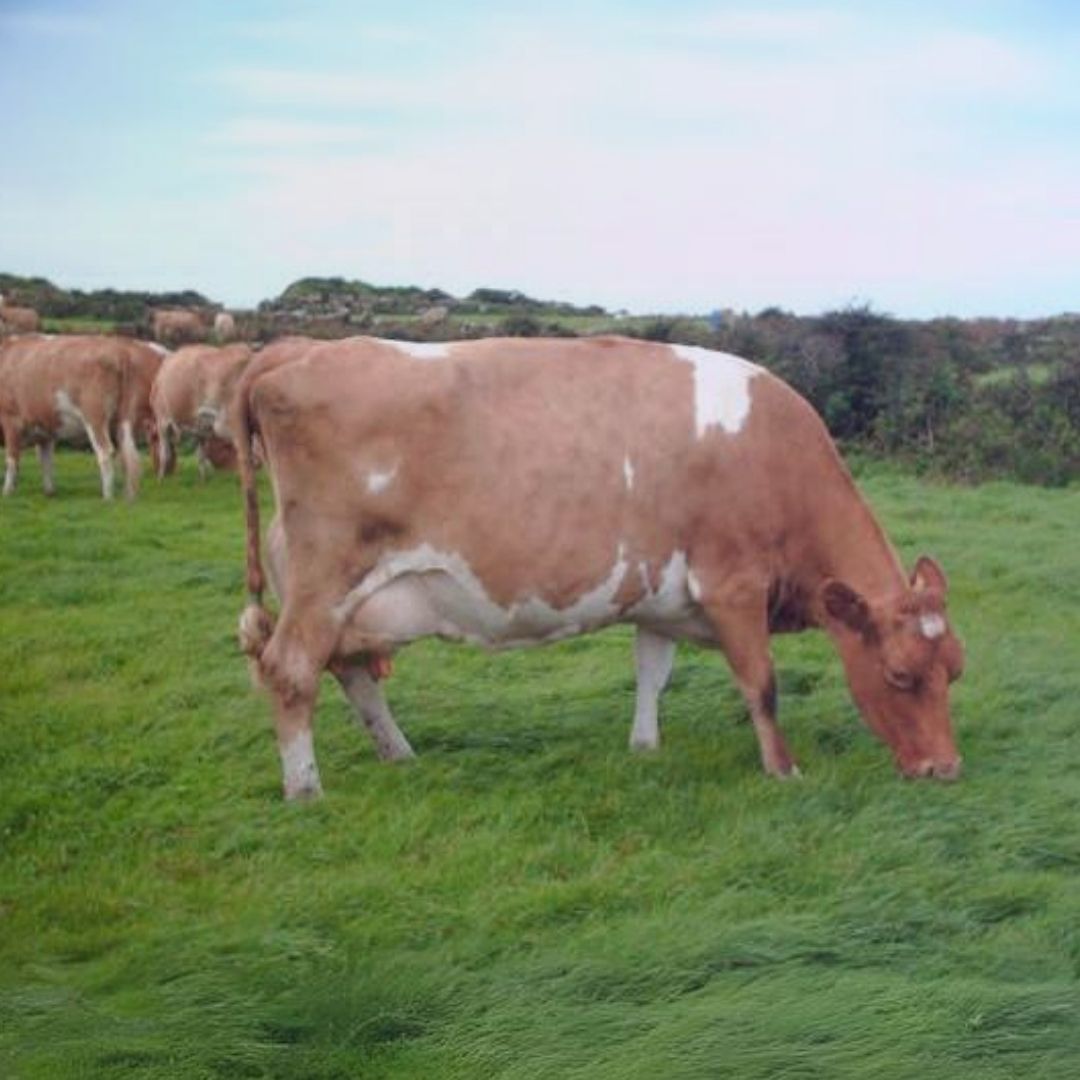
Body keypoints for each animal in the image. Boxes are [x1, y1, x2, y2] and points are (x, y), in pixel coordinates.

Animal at [0, 334, 163, 499]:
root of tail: (121, 351)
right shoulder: (45, 430)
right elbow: (46, 461)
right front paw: (49, 492)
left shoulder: (11, 419)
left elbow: (12, 459)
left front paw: (6, 492)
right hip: (124, 422)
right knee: (128, 457)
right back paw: (129, 496)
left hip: (95, 416)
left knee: (105, 452)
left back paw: (108, 497)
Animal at [150, 343, 254, 478]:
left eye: (152, 441)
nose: (169, 473)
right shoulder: (201, 427)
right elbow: (201, 454)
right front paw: (203, 478)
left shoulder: (162, 419)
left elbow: (164, 452)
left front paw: (160, 477)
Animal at [234, 336, 965, 800]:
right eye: (900, 676)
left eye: (954, 670)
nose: (945, 769)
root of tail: (293, 350)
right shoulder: (732, 585)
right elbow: (761, 685)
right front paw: (782, 770)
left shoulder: (662, 596)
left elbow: (652, 674)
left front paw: (644, 746)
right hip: (325, 580)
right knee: (290, 670)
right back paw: (305, 789)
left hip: (351, 598)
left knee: (352, 671)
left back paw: (399, 754)